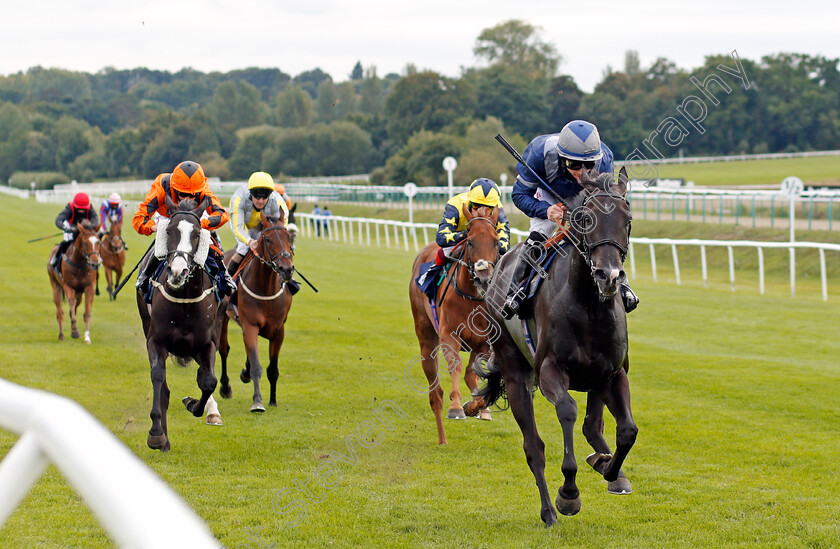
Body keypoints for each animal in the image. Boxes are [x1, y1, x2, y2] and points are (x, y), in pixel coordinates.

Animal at [135, 196, 220, 450]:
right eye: (169, 230)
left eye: (197, 233)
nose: (178, 271)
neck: (184, 302)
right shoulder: (156, 341)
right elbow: (158, 379)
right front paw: (156, 434)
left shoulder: (207, 344)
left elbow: (209, 381)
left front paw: (194, 404)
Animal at [217, 209, 296, 412]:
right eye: (267, 239)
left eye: (288, 237)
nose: (286, 269)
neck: (265, 288)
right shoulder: (250, 326)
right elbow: (256, 366)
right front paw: (258, 401)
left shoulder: (278, 331)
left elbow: (272, 369)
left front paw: (273, 400)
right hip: (223, 318)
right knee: (223, 349)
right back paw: (225, 387)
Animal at [410, 203, 502, 444]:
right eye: (469, 241)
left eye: (496, 241)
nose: (484, 277)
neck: (472, 299)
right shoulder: (448, 336)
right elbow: (456, 366)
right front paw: (457, 407)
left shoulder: (485, 342)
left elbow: (472, 374)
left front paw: (478, 406)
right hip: (426, 336)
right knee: (435, 392)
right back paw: (442, 439)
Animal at [476, 168, 632, 528]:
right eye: (586, 219)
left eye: (628, 219)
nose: (609, 276)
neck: (589, 305)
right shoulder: (549, 369)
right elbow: (567, 411)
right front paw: (569, 494)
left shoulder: (613, 373)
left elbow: (627, 431)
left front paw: (610, 469)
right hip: (515, 372)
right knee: (533, 447)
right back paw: (548, 510)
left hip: (595, 378)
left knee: (593, 426)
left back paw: (605, 462)